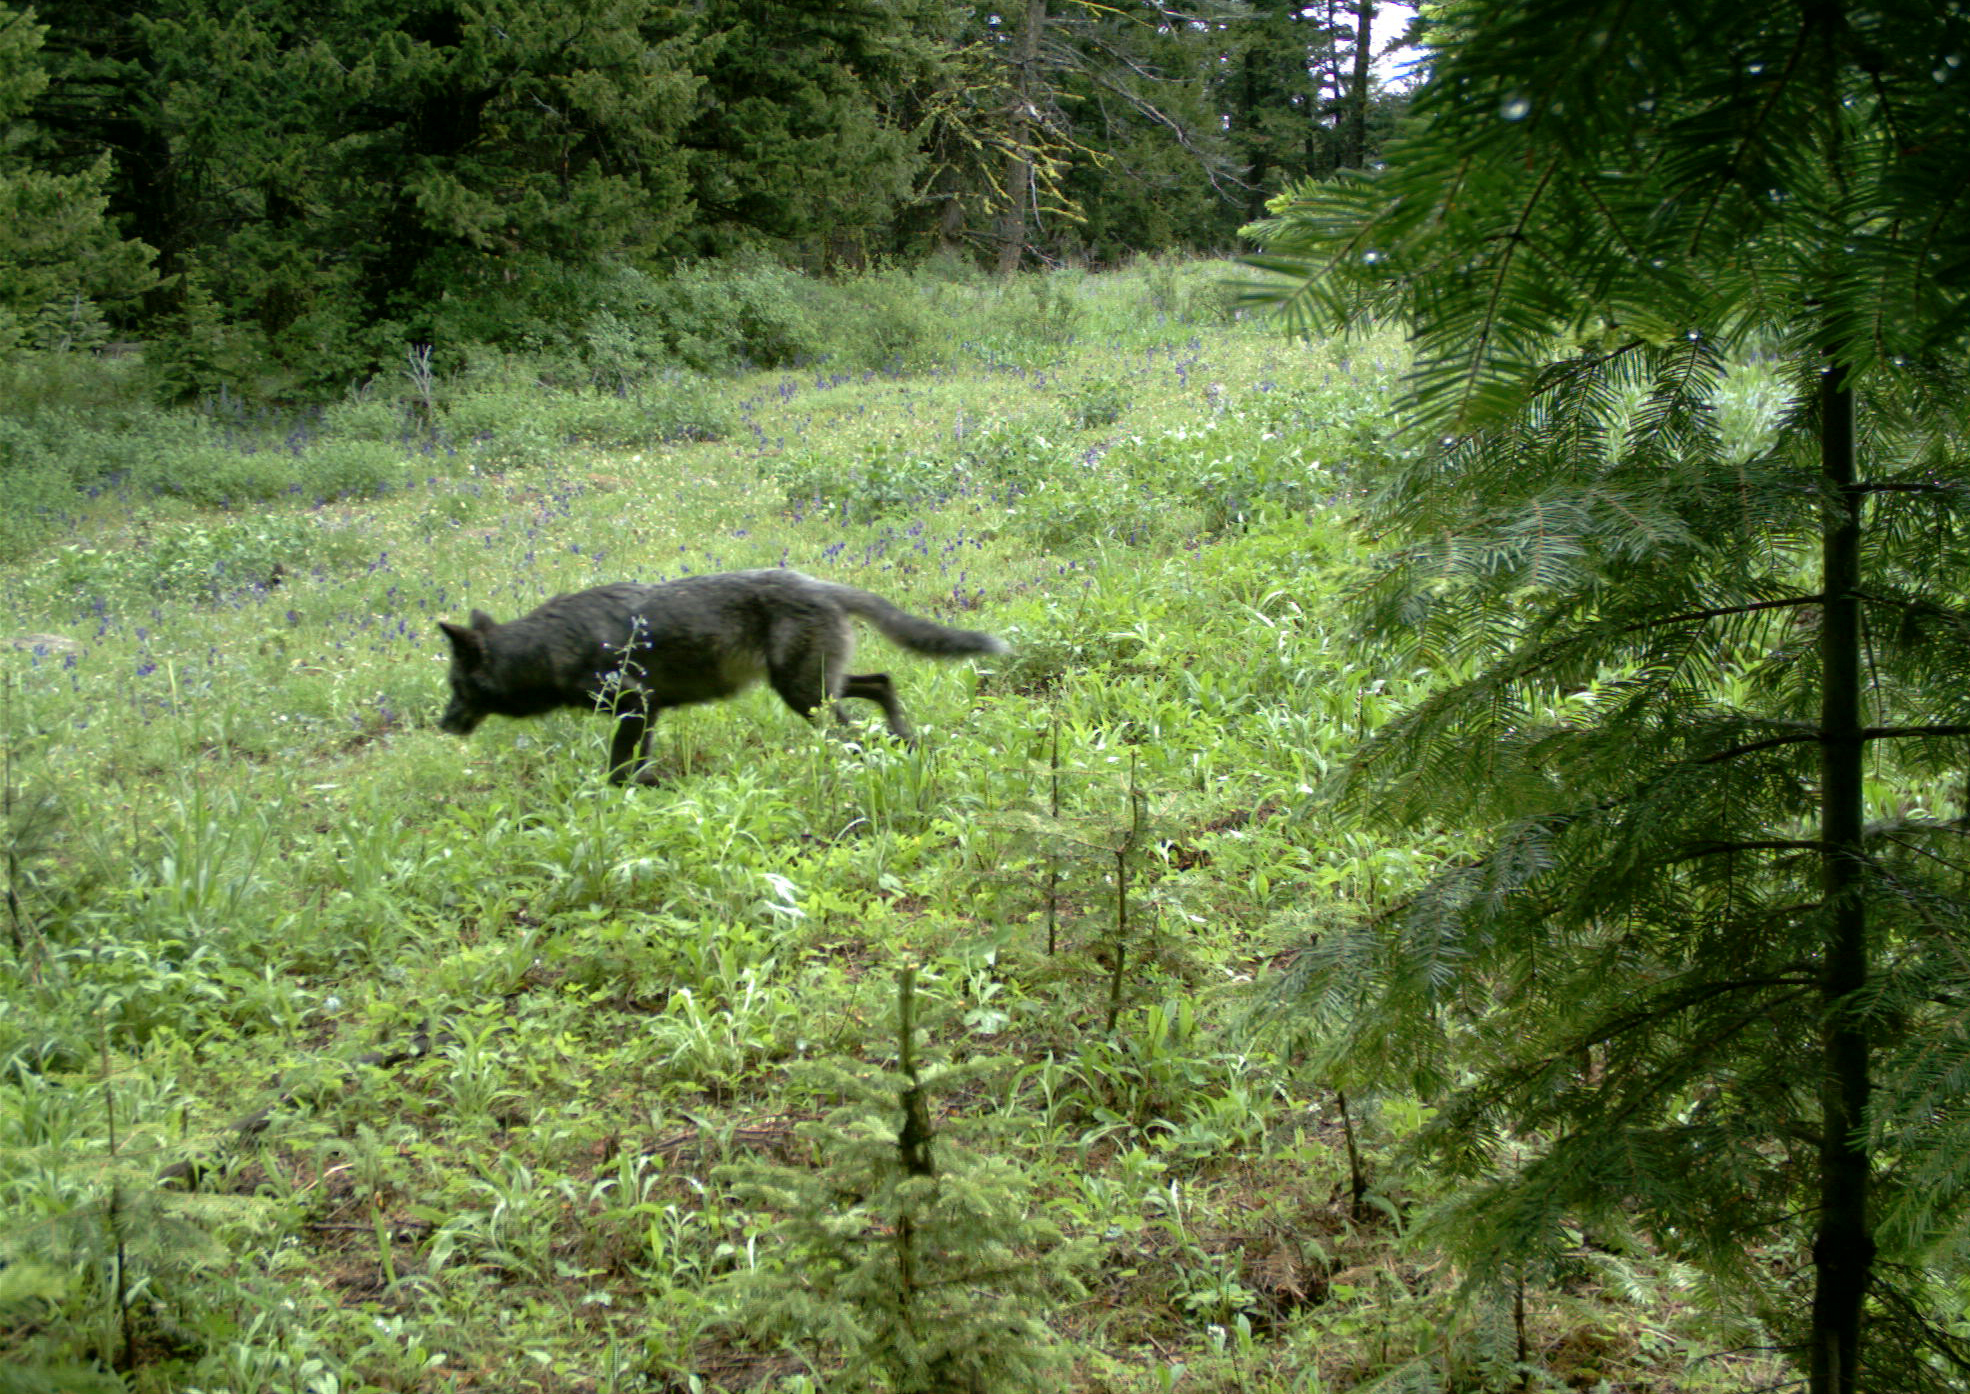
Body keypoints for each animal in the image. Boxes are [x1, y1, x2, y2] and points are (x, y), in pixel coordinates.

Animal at [439, 570, 1008, 783]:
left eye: (454, 687)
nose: (442, 725)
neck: (546, 649)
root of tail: (818, 584)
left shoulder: (635, 706)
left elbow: (618, 770)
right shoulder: (647, 712)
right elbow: (634, 766)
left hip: (804, 694)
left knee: (856, 731)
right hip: (815, 687)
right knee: (883, 684)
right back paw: (906, 743)